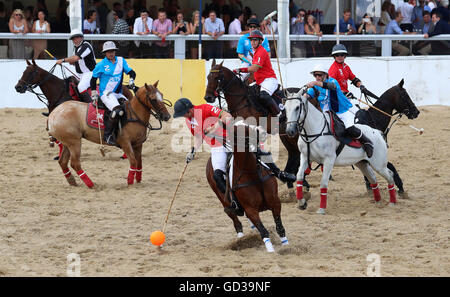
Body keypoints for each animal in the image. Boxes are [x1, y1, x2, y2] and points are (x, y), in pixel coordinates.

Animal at [207, 121, 290, 251]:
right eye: (238, 131)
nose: (261, 130)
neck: (252, 173)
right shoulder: (251, 210)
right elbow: (264, 231)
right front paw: (271, 251)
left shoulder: (275, 202)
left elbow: (280, 227)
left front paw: (287, 246)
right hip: (224, 201)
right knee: (235, 220)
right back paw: (240, 239)